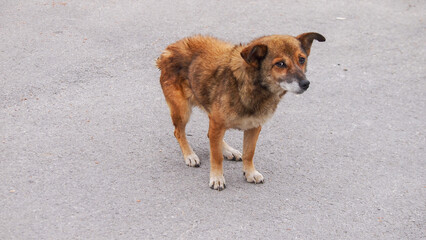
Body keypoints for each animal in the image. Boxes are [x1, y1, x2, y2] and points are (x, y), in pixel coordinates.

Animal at [156, 32, 326, 191]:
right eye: (280, 63)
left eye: (302, 60)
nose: (306, 83)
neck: (252, 86)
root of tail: (169, 49)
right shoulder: (218, 123)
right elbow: (216, 157)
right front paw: (217, 178)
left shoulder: (254, 127)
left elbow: (249, 153)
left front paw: (250, 172)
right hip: (182, 110)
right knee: (179, 132)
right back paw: (190, 155)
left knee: (210, 135)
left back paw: (228, 150)